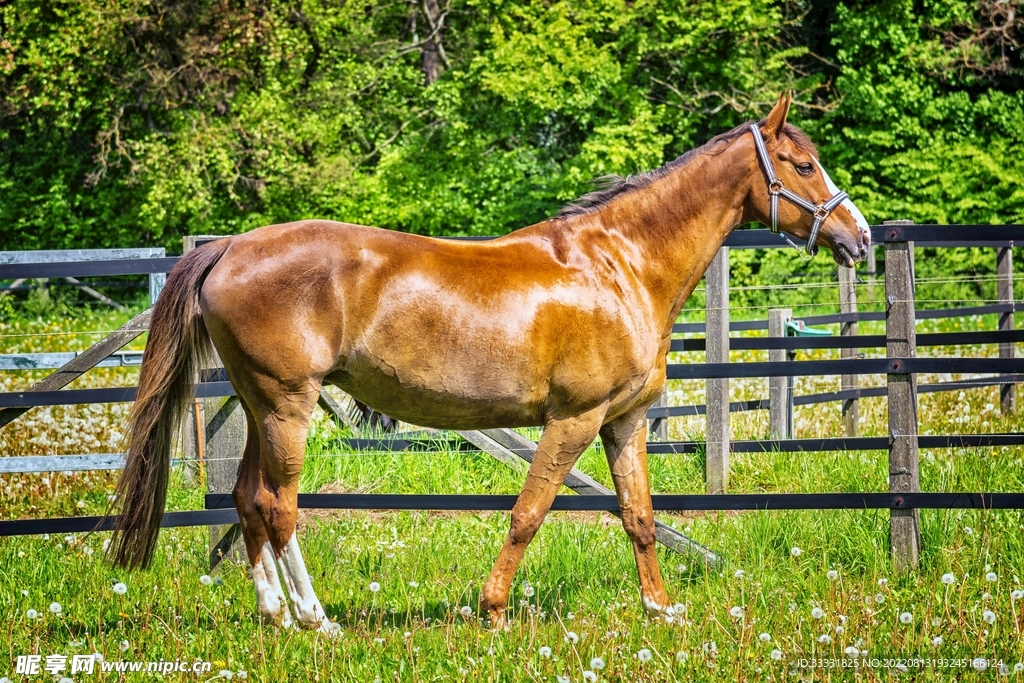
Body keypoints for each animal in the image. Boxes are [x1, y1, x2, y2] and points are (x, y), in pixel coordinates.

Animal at [107, 93, 870, 632]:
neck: (619, 266)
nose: (859, 237)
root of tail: (229, 247)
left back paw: (275, 615)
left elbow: (640, 517)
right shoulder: (573, 420)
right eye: (803, 165)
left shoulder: (622, 423)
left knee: (247, 500)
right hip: (288, 405)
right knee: (278, 505)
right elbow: (528, 513)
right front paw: (494, 609)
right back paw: (317, 620)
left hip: (261, 405)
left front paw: (660, 610)